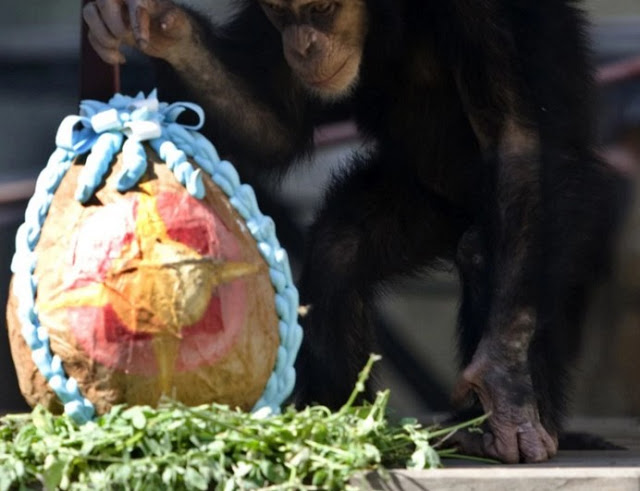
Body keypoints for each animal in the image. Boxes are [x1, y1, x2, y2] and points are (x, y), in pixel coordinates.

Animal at [82, 0, 624, 466]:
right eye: (281, 13)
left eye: (322, 9)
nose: (301, 44)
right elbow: (273, 127)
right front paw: (157, 26)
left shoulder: (486, 10)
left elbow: (515, 140)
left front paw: (504, 381)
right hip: (424, 204)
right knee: (339, 250)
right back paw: (340, 420)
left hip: (581, 204)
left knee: (495, 246)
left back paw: (513, 423)